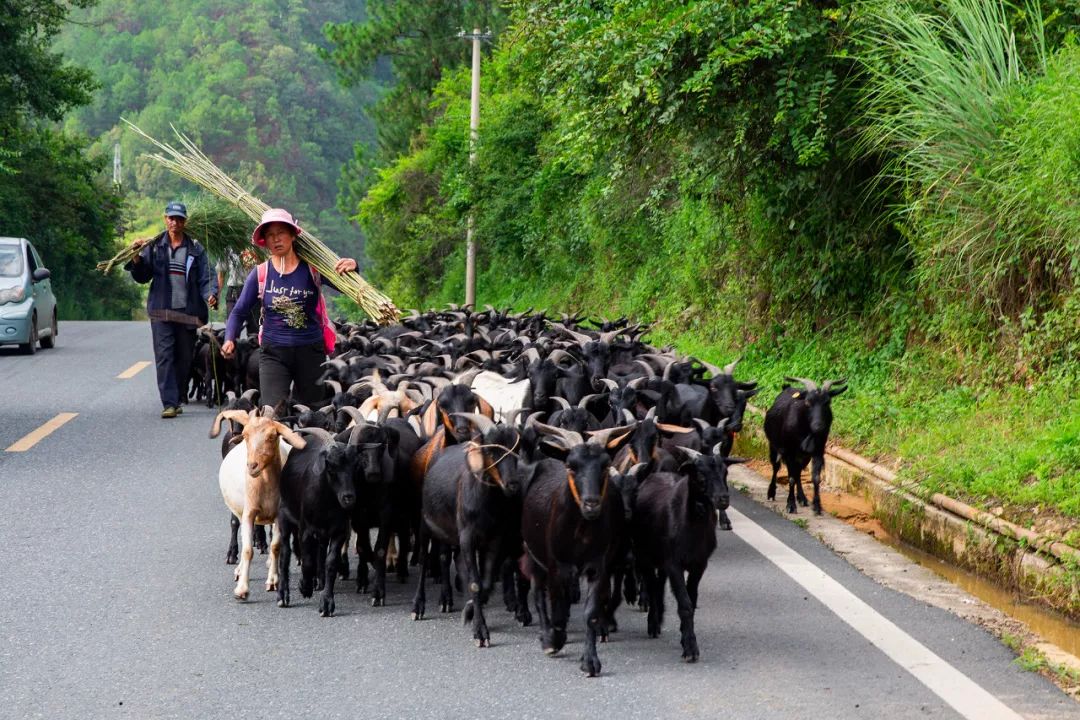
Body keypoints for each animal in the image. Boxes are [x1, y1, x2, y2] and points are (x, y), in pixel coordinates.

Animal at [764, 379, 846, 515]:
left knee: (798, 472)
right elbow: (791, 478)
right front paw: (791, 505)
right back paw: (771, 493)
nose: (818, 426)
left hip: (803, 456)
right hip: (774, 446)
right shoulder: (789, 452)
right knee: (776, 467)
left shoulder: (818, 451)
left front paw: (817, 506)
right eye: (807, 402)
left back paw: (802, 498)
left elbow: (815, 478)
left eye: (827, 402)